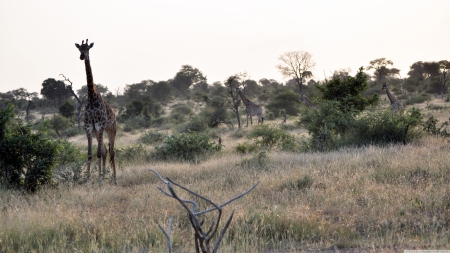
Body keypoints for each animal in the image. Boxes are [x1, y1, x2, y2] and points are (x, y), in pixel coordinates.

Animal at [75, 38, 118, 185]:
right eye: (79, 48)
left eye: (88, 48)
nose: (82, 56)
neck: (92, 97)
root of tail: (115, 114)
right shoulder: (89, 127)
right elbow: (90, 154)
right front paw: (88, 179)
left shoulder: (99, 126)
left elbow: (98, 153)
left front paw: (99, 180)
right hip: (98, 131)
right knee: (105, 151)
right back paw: (104, 176)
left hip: (111, 129)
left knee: (111, 152)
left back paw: (114, 179)